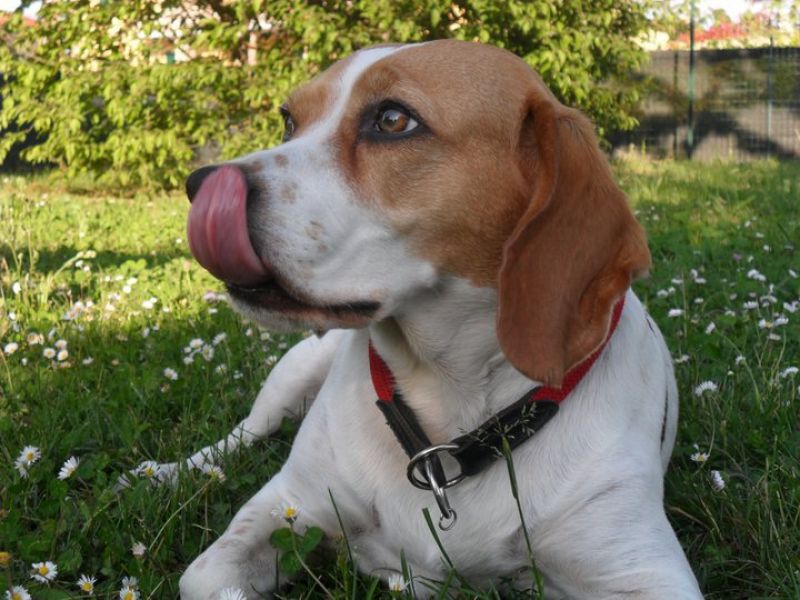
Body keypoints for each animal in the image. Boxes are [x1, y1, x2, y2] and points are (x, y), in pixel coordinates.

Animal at [172, 39, 704, 596]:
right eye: (289, 121)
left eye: (392, 119)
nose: (199, 184)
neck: (447, 406)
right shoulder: (292, 500)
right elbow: (203, 576)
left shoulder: (641, 570)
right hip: (294, 374)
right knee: (240, 436)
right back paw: (167, 471)